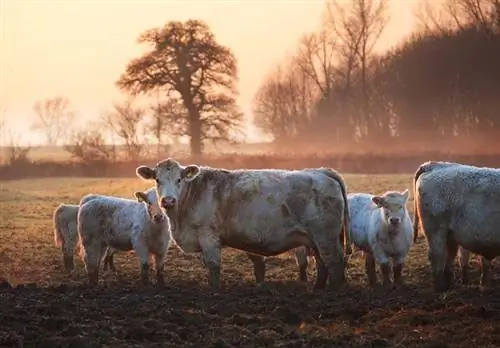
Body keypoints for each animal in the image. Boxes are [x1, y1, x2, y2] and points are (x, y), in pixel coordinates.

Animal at [135, 158, 350, 290]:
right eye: (157, 179)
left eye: (179, 179)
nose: (168, 200)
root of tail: (321, 172)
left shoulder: (208, 235)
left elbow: (213, 265)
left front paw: (213, 289)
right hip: (315, 239)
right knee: (322, 263)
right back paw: (317, 289)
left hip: (326, 237)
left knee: (334, 262)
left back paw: (332, 292)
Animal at [414, 162, 500, 292]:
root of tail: (432, 165)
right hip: (436, 233)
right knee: (437, 256)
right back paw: (440, 288)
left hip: (451, 237)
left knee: (448, 258)